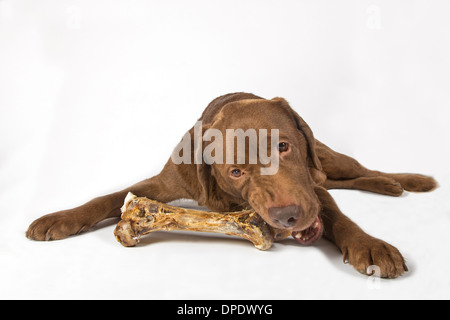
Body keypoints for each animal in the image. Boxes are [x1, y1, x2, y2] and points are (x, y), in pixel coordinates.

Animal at [27, 92, 436, 278]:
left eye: (283, 147)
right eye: (236, 172)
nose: (288, 217)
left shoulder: (311, 190)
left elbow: (340, 217)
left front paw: (370, 245)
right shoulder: (161, 184)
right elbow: (106, 197)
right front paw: (60, 218)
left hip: (326, 159)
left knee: (353, 170)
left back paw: (403, 181)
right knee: (341, 180)